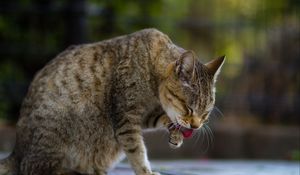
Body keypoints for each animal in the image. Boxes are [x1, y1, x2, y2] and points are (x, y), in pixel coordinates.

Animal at [0, 28, 224, 174]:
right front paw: (146, 171)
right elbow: (137, 150)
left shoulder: (143, 116)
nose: (195, 126)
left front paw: (175, 133)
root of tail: (16, 152)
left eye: (205, 113)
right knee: (33, 168)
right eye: (189, 108)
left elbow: (163, 119)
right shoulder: (125, 117)